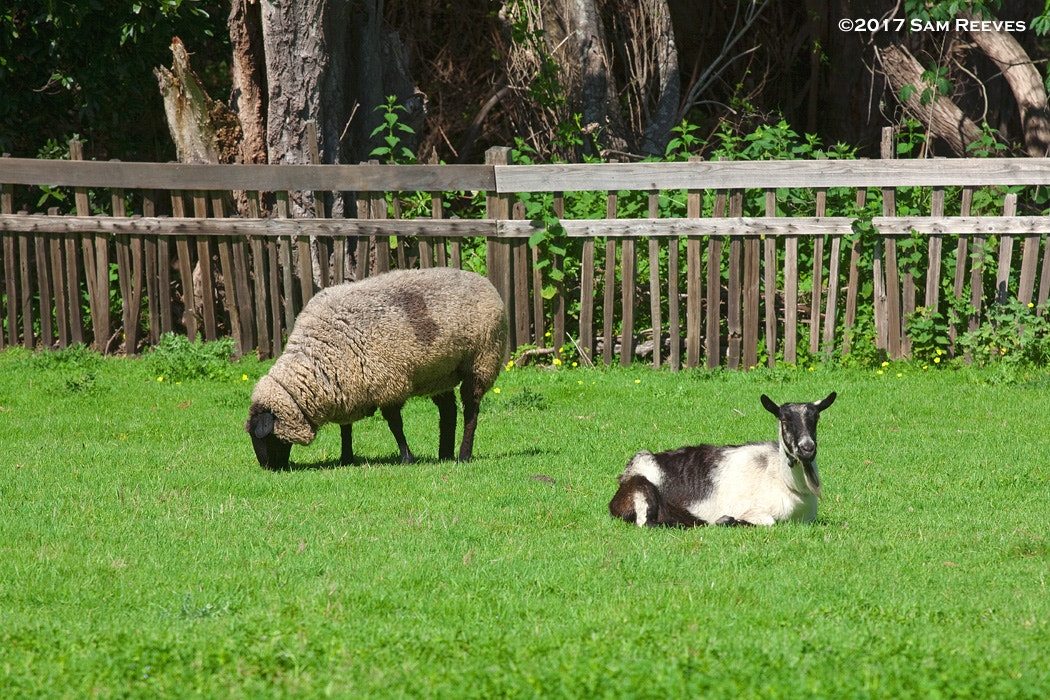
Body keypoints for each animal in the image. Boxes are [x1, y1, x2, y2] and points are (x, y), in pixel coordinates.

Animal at [245, 268, 508, 470]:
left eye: (264, 437)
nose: (268, 468)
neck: (317, 358)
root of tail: (484, 281)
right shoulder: (346, 387)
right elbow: (346, 428)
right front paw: (346, 458)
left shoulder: (389, 383)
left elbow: (395, 425)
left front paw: (406, 458)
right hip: (439, 372)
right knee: (448, 412)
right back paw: (444, 455)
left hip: (481, 361)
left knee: (471, 411)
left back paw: (463, 455)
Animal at [609, 392, 835, 528]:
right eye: (785, 419)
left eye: (815, 419)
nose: (807, 448)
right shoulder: (752, 510)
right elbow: (768, 522)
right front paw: (726, 519)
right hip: (641, 491)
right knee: (647, 523)